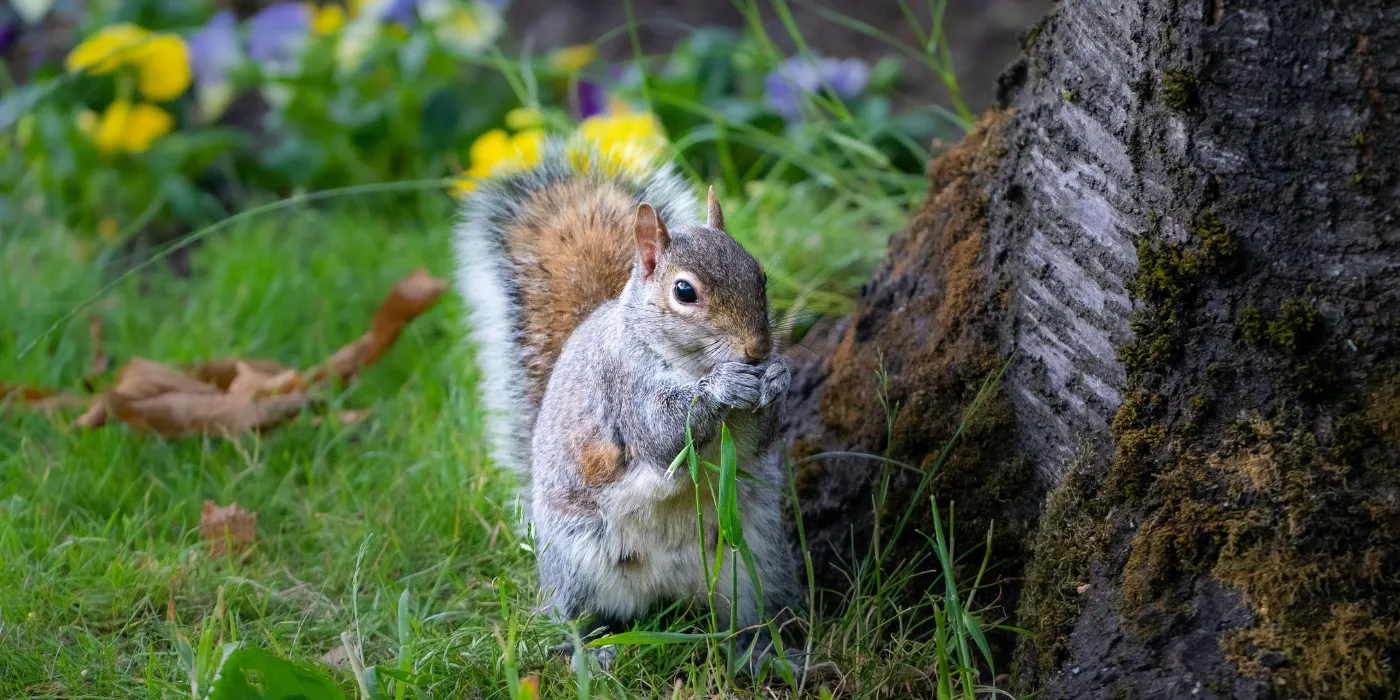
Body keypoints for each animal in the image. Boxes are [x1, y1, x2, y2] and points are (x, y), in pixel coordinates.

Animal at [454, 140, 799, 652]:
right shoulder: (624, 385)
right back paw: (584, 652)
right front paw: (724, 386)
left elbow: (759, 440)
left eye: (760, 276)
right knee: (572, 615)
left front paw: (776, 376)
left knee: (745, 617)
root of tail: (669, 588)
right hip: (577, 560)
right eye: (684, 291)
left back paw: (762, 652)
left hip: (752, 561)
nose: (757, 350)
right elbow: (665, 435)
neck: (689, 362)